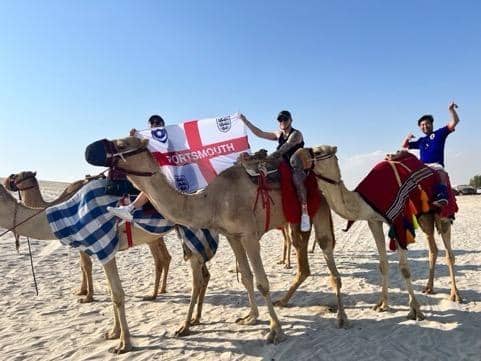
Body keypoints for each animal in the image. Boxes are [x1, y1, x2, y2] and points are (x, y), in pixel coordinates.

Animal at [3, 172, 172, 300]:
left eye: (17, 176)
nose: (5, 180)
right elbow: (83, 266)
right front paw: (82, 291)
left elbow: (86, 266)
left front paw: (88, 296)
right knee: (165, 257)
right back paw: (161, 290)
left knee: (159, 259)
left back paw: (153, 294)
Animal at [86, 136, 346, 344]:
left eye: (121, 144)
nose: (89, 149)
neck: (212, 201)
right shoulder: (232, 235)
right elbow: (247, 276)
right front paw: (250, 317)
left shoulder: (249, 235)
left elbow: (262, 282)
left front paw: (276, 331)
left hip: (319, 208)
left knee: (327, 252)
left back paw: (342, 317)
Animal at [300, 145, 462, 320]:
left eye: (317, 152)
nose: (297, 156)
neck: (362, 201)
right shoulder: (374, 221)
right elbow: (383, 264)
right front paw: (382, 304)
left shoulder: (398, 222)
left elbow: (404, 269)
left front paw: (415, 310)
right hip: (424, 216)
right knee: (433, 248)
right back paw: (429, 287)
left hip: (443, 213)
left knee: (449, 253)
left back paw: (455, 295)